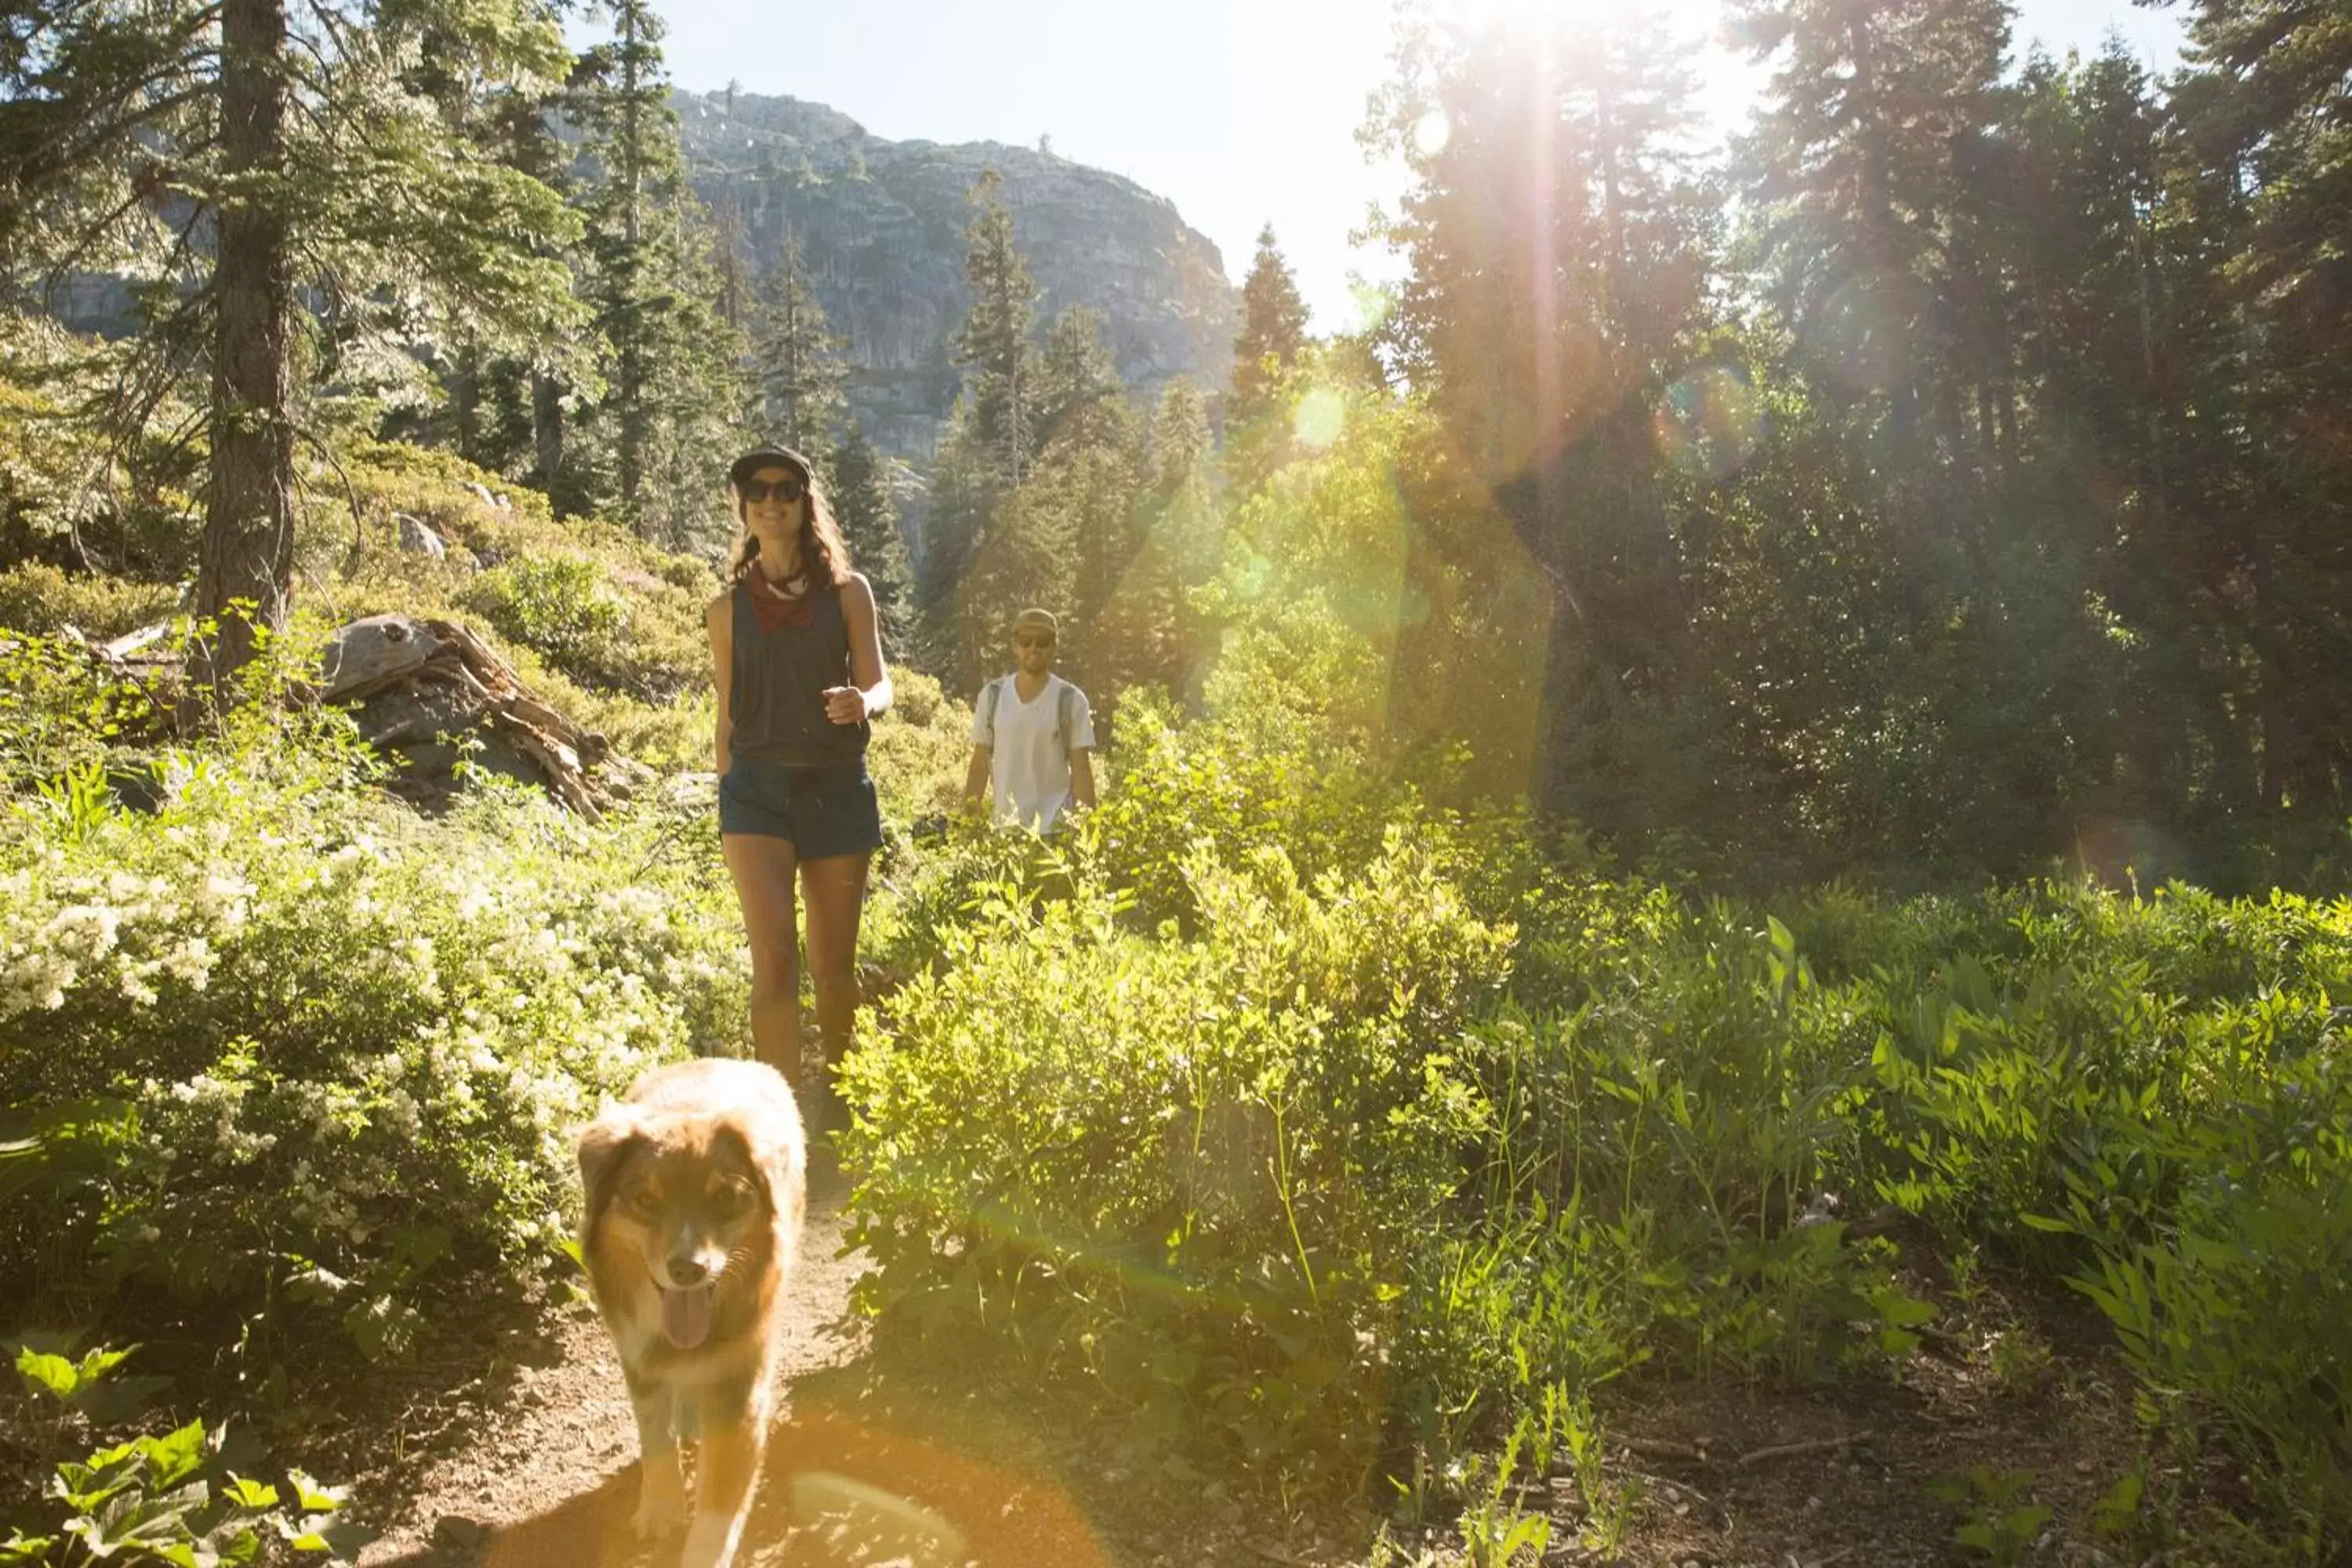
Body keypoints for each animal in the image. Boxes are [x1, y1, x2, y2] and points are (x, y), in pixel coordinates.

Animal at [579, 1053, 809, 1568]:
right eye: (646, 1200)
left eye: (724, 1197)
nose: (687, 1269)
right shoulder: (637, 1357)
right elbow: (654, 1433)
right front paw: (661, 1505)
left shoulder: (740, 1390)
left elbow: (718, 1512)